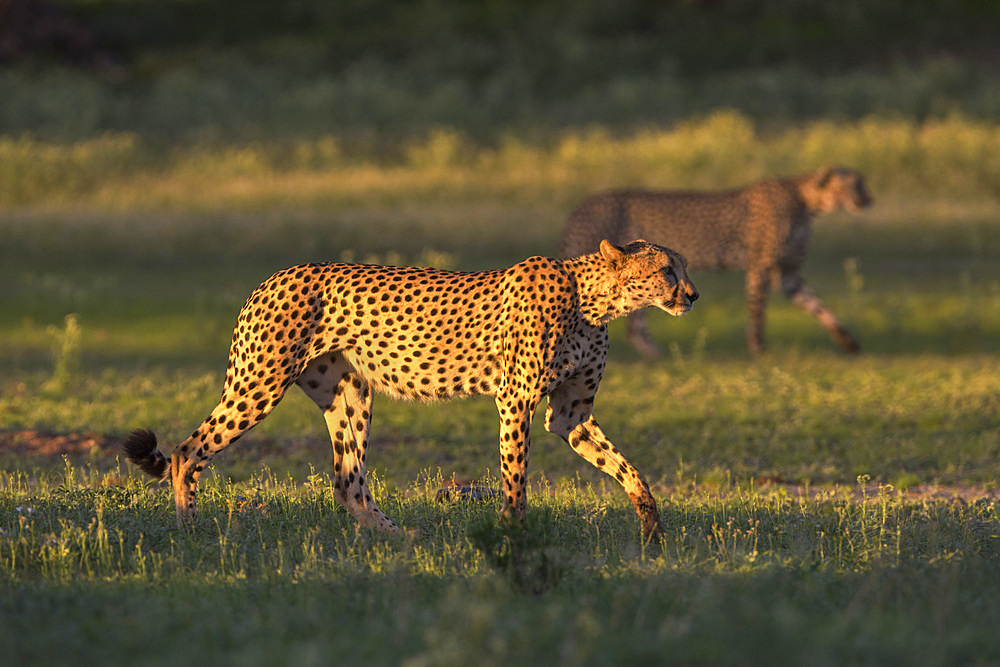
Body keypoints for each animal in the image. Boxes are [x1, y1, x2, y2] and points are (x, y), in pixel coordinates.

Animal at [121, 240, 700, 544]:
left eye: (683, 267)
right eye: (665, 270)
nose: (693, 295)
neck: (594, 300)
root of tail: (275, 275)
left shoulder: (571, 416)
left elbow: (628, 469)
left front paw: (652, 530)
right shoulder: (515, 401)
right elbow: (516, 479)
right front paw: (513, 536)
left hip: (350, 395)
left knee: (348, 485)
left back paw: (400, 541)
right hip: (260, 383)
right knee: (187, 450)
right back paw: (190, 532)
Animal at [560, 165, 872, 358]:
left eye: (862, 183)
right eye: (853, 185)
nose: (868, 199)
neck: (807, 201)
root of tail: (579, 207)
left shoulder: (789, 275)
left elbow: (818, 306)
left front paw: (848, 342)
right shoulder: (761, 266)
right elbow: (757, 310)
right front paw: (758, 349)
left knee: (635, 326)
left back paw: (657, 355)